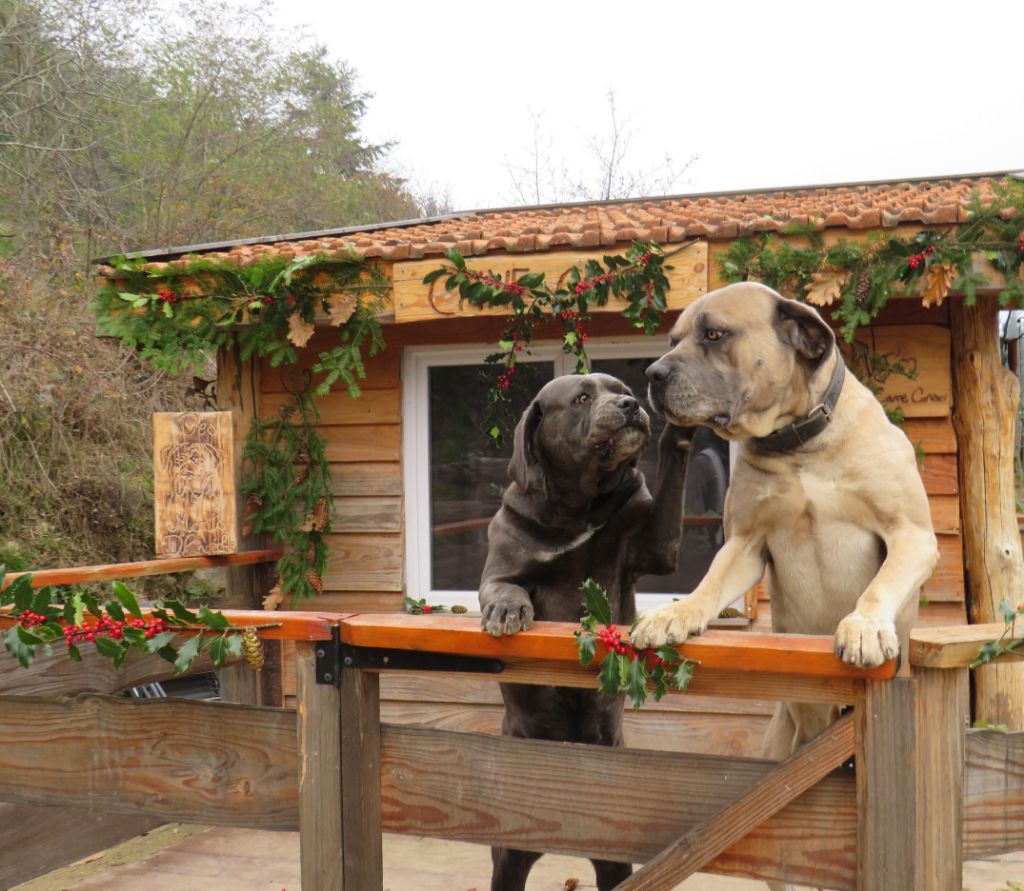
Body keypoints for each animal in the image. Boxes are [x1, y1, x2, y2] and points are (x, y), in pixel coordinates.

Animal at [477, 370, 688, 891]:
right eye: (581, 399)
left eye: (621, 388)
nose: (631, 405)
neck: (577, 508)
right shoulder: (500, 570)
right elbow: (506, 587)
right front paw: (508, 611)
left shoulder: (654, 546)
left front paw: (679, 430)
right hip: (508, 850)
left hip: (612, 851)